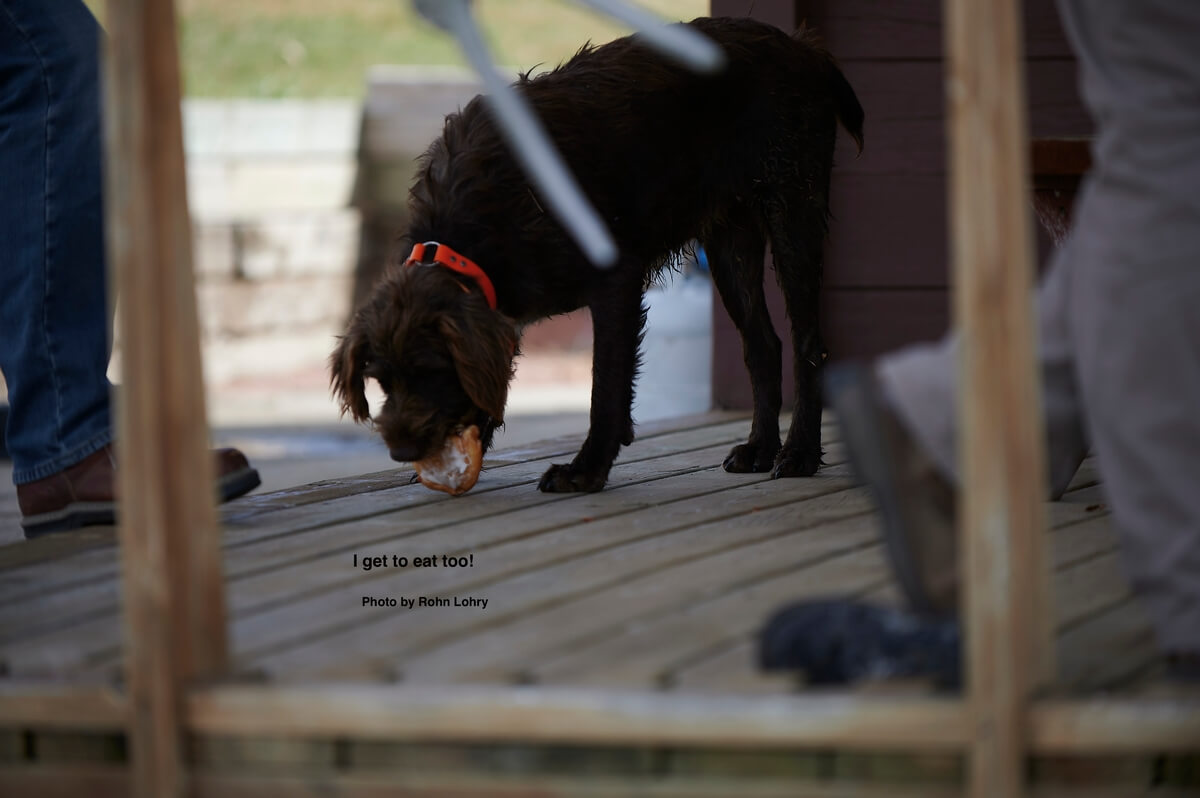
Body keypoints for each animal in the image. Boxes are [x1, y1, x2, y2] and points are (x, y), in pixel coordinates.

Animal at [331, 16, 863, 493]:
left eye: (429, 370)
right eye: (381, 380)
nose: (402, 451)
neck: (471, 224)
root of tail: (803, 47)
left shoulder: (615, 285)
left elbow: (605, 386)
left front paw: (586, 469)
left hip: (794, 210)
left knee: (807, 342)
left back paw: (799, 453)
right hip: (731, 242)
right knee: (763, 344)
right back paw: (760, 448)